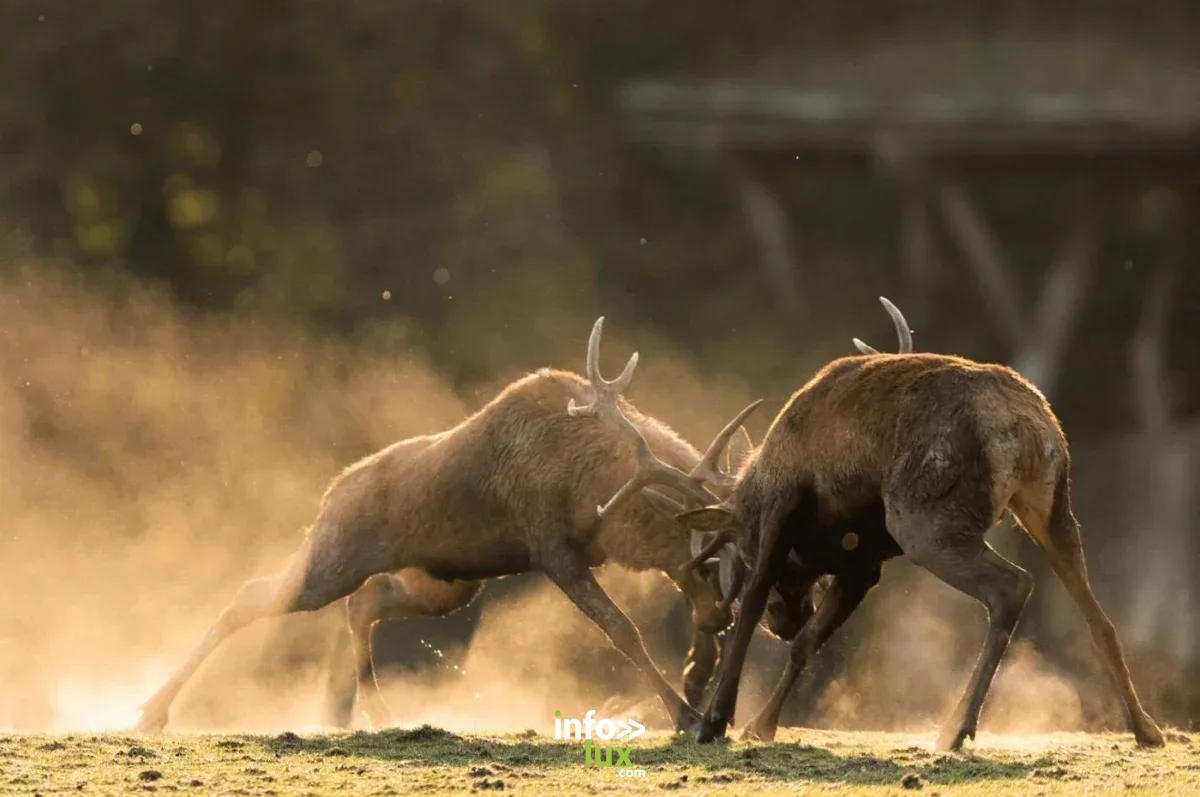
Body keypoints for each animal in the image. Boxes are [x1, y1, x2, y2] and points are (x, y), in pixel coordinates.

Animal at [576, 310, 1166, 752]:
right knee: (1096, 613)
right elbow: (810, 643)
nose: (784, 621)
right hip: (1051, 504)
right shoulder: (865, 561)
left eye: (736, 549)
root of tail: (1024, 427)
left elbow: (750, 613)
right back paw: (1145, 728)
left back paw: (955, 728)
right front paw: (761, 723)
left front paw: (716, 721)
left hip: (925, 519)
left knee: (1012, 585)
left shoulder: (784, 515)